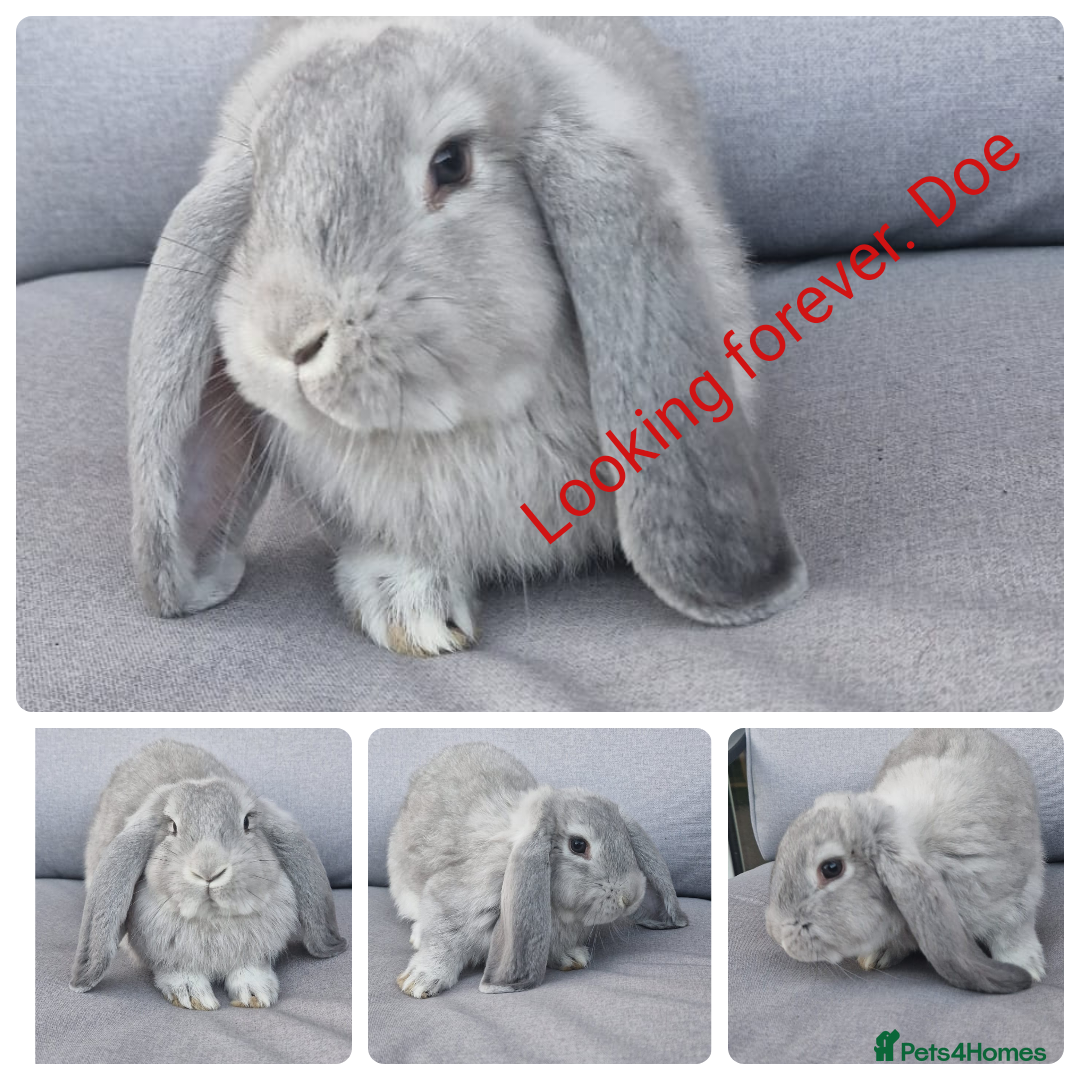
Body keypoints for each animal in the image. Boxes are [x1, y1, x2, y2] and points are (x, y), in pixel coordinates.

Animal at [69, 740, 347, 1010]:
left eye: (247, 822)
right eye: (172, 826)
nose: (208, 871)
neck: (213, 919)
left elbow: (250, 970)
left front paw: (255, 993)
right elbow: (177, 971)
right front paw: (191, 995)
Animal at [386, 742, 688, 996]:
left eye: (626, 838)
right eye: (578, 845)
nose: (631, 897)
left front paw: (572, 957)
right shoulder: (450, 900)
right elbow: (443, 942)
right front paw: (419, 981)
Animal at [765, 728, 1045, 994]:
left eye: (831, 868)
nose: (779, 936)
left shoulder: (1016, 895)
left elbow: (1013, 934)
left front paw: (1028, 969)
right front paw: (874, 957)